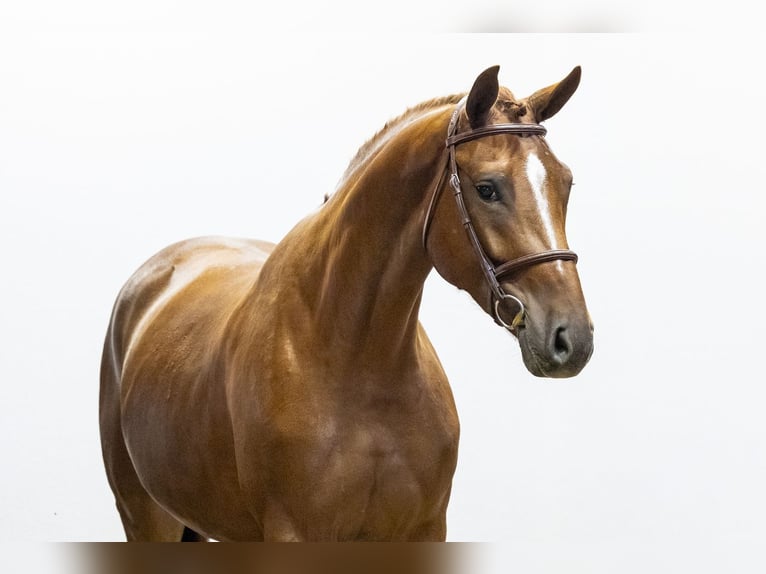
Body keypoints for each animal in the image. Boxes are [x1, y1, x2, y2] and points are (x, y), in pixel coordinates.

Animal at [99, 65, 594, 542]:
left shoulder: (425, 529)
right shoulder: (294, 533)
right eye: (487, 188)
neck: (358, 362)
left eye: (566, 183)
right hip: (146, 516)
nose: (572, 338)